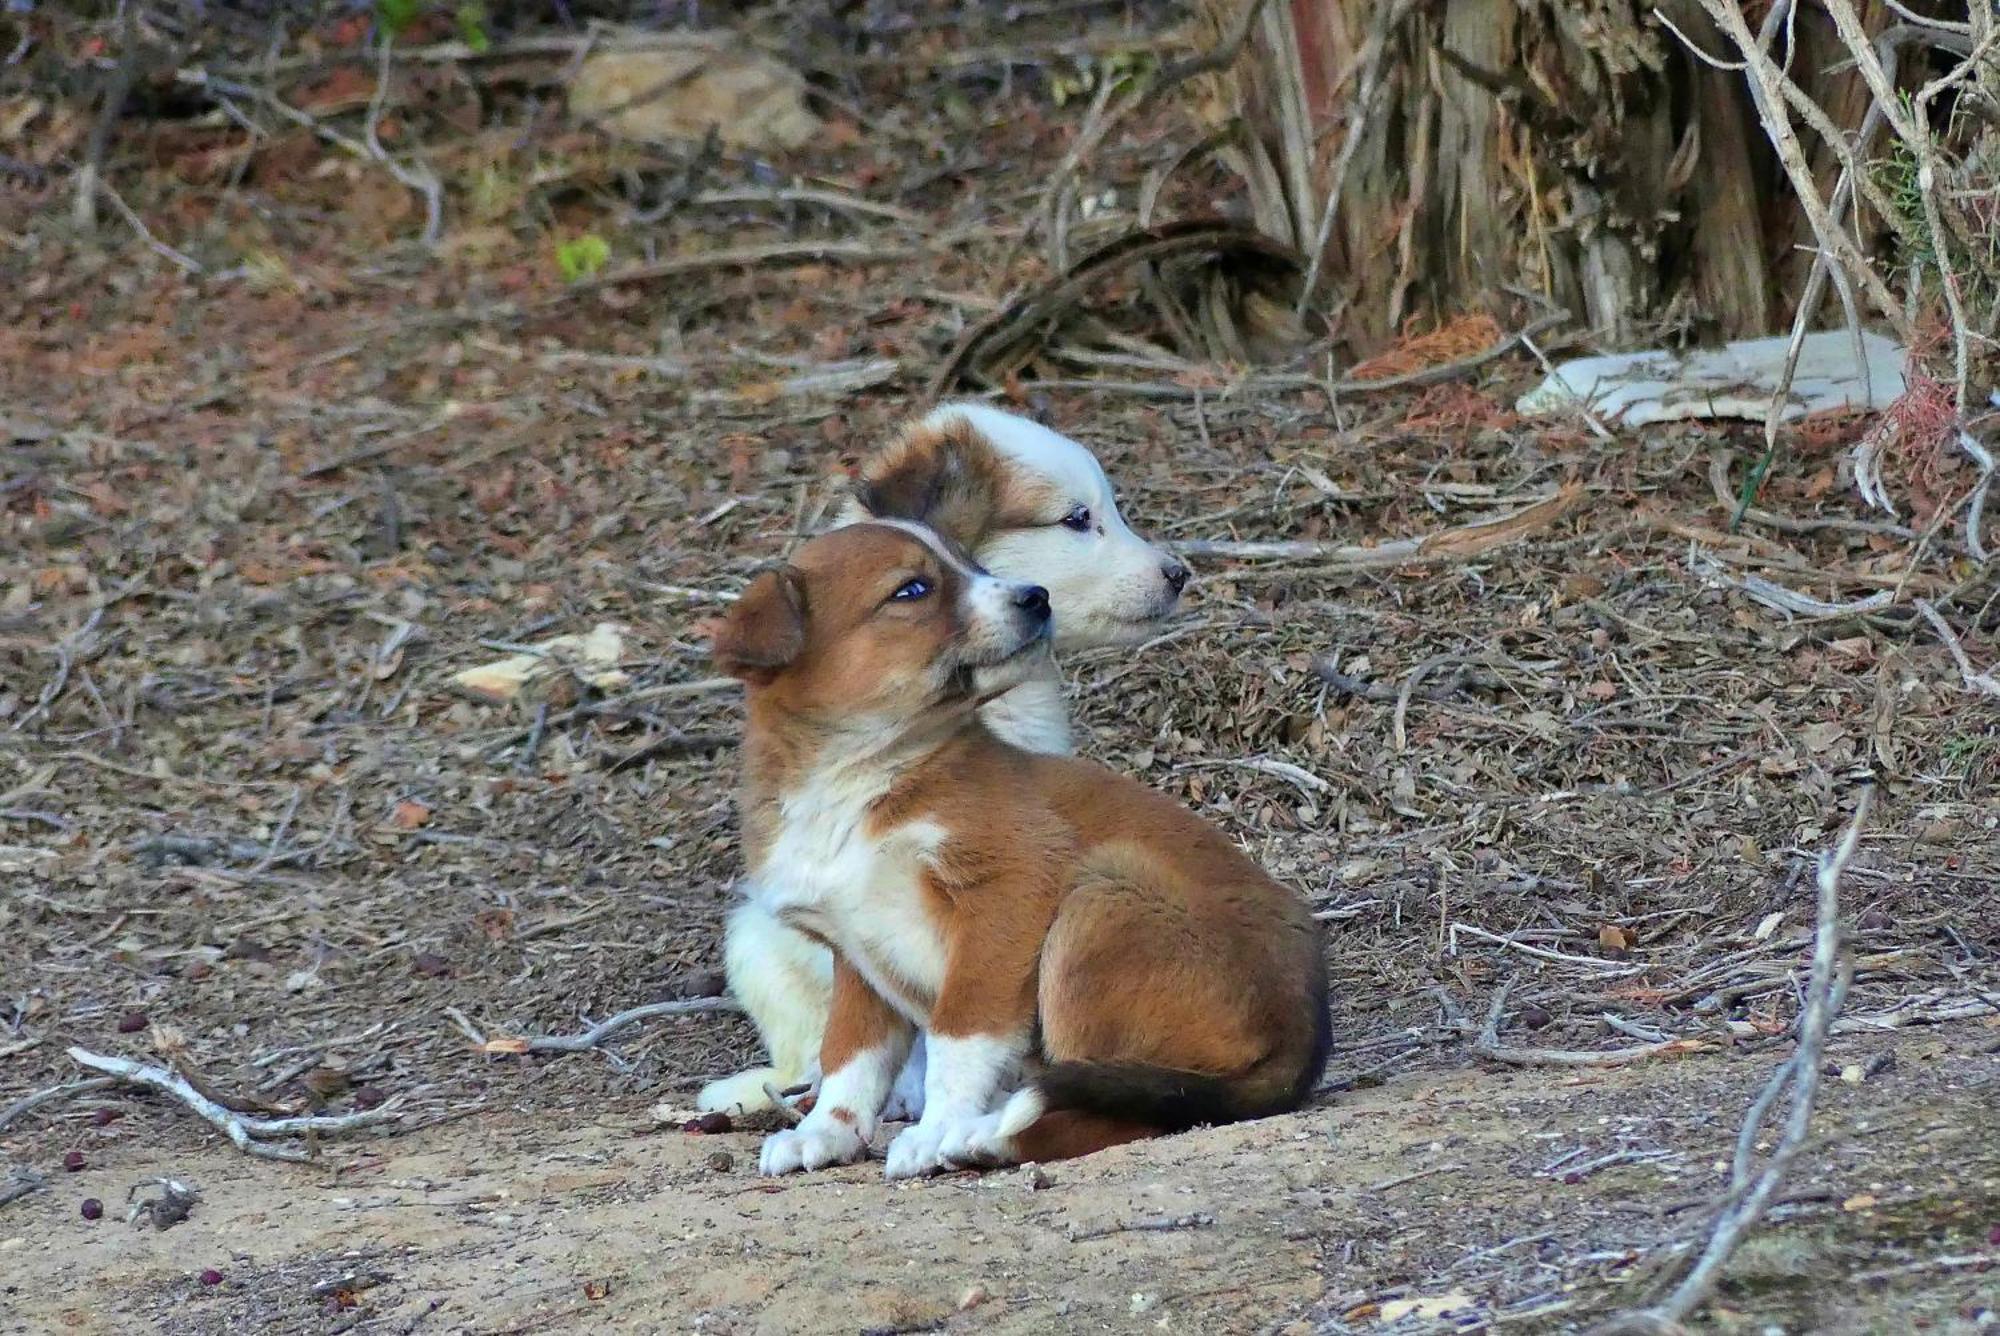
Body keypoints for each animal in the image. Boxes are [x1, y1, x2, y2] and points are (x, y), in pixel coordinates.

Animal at [712, 520, 1320, 1176]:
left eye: (973, 565)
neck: (855, 779)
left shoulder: (1006, 889)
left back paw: (983, 1137)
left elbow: (960, 1035)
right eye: (912, 589)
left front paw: (935, 1129)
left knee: (1121, 1111)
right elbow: (851, 1053)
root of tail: (1298, 1048)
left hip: (1100, 900)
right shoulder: (854, 950)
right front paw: (825, 1132)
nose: (1037, 596)